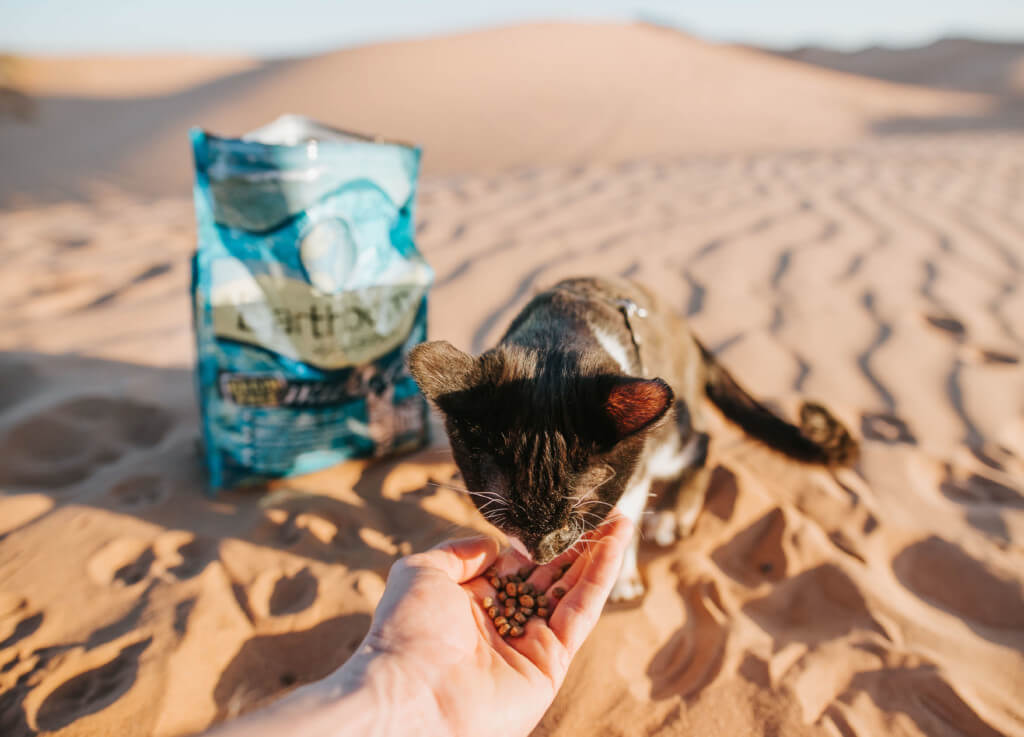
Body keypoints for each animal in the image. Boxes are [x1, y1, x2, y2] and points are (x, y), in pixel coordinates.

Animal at [407, 276, 856, 597]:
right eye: (504, 519)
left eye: (575, 519)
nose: (543, 554)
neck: (560, 334)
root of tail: (689, 335)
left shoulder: (636, 470)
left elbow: (625, 521)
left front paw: (622, 578)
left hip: (671, 431)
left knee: (703, 442)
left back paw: (678, 514)